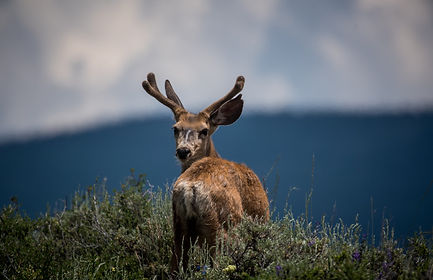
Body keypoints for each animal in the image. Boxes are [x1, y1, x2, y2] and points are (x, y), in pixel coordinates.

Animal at [142, 72, 268, 274]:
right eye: (175, 128)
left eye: (204, 130)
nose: (183, 151)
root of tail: (191, 188)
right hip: (221, 226)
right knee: (217, 264)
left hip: (178, 225)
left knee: (175, 266)